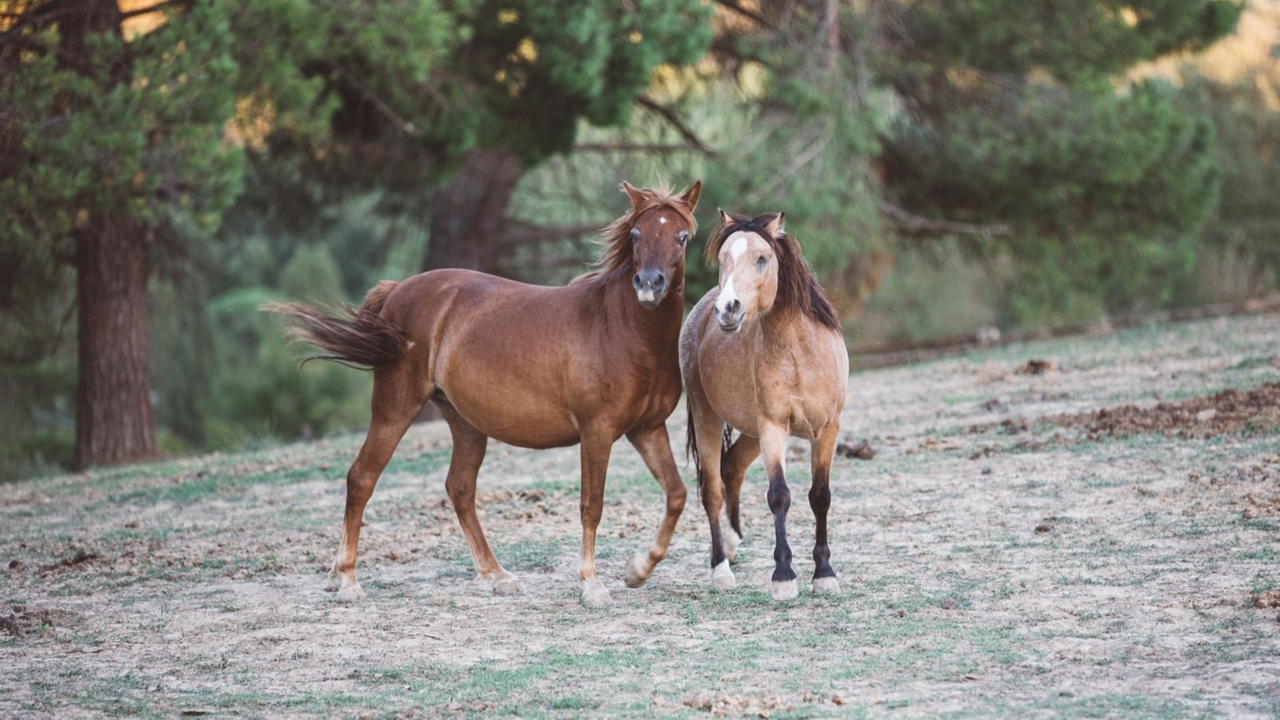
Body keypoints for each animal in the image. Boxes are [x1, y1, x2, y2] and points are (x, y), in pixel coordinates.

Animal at [271, 180, 706, 604]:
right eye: (635, 234)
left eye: (682, 237)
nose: (648, 285)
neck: (619, 328)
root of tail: (397, 292)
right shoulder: (596, 432)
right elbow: (592, 506)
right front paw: (591, 585)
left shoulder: (647, 429)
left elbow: (677, 494)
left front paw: (638, 570)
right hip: (395, 410)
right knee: (362, 478)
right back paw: (345, 579)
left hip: (465, 423)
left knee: (460, 489)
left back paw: (496, 576)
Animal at [680, 208, 849, 599]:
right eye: (723, 259)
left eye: (762, 259)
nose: (728, 310)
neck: (802, 354)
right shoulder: (773, 427)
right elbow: (779, 496)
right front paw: (784, 576)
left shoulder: (827, 429)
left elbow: (820, 496)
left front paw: (824, 573)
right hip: (709, 416)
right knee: (712, 490)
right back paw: (721, 569)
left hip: (751, 433)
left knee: (732, 469)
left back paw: (731, 543)